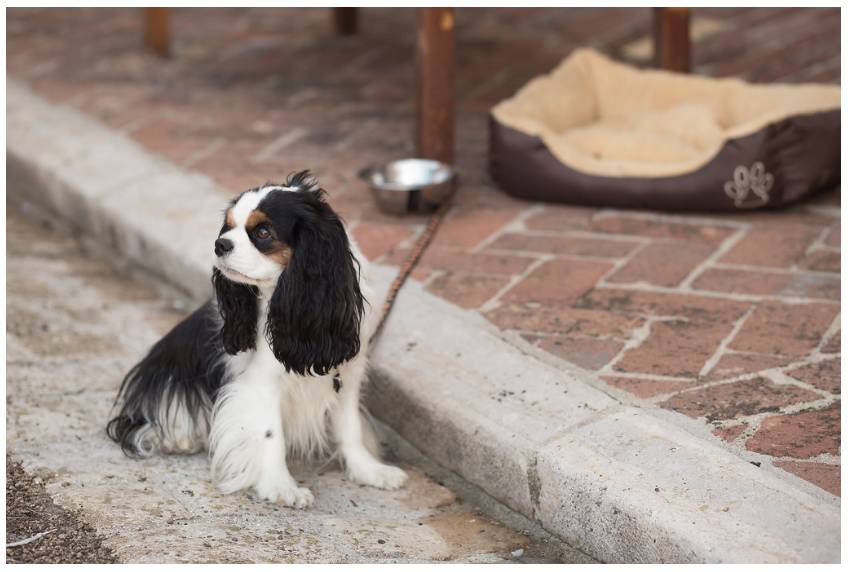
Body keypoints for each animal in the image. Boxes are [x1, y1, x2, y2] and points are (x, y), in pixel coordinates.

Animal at [105, 170, 406, 504]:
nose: (220, 244)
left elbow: (349, 427)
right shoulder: (263, 383)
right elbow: (271, 433)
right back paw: (180, 438)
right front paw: (281, 486)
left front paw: (368, 470)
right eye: (228, 227)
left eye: (263, 232)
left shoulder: (346, 374)